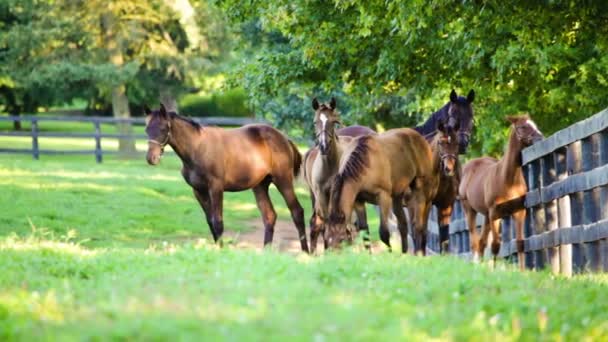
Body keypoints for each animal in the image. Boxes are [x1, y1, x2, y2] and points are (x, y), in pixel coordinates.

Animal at [145, 103, 312, 252]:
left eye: (163, 128)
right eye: (146, 129)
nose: (151, 158)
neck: (198, 148)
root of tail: (284, 138)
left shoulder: (216, 188)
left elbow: (218, 222)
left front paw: (222, 251)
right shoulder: (198, 191)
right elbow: (210, 221)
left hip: (283, 181)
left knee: (297, 212)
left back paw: (305, 252)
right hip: (260, 186)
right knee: (269, 216)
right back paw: (266, 252)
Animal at [304, 97, 370, 252]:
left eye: (333, 122)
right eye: (315, 122)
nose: (323, 146)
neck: (329, 166)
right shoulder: (322, 195)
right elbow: (328, 224)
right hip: (316, 197)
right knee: (318, 223)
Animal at [458, 115, 544, 268]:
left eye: (534, 124)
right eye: (522, 126)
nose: (540, 138)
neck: (508, 180)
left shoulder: (519, 211)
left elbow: (520, 243)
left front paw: (522, 271)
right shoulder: (495, 213)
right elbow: (495, 245)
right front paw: (493, 270)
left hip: (486, 215)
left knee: (481, 242)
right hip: (469, 209)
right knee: (475, 242)